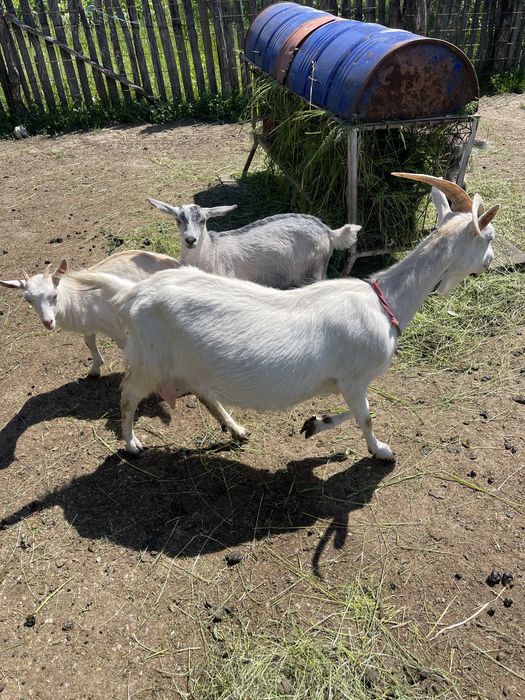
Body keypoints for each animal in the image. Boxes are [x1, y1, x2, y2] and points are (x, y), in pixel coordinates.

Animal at [0, 250, 180, 377]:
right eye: (28, 300)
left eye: (54, 295)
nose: (48, 322)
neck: (74, 298)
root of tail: (175, 262)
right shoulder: (88, 326)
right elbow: (89, 343)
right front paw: (95, 369)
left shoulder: (112, 326)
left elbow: (124, 345)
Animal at [148, 198, 360, 288]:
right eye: (178, 219)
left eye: (203, 221)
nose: (190, 240)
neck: (212, 252)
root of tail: (328, 232)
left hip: (314, 271)